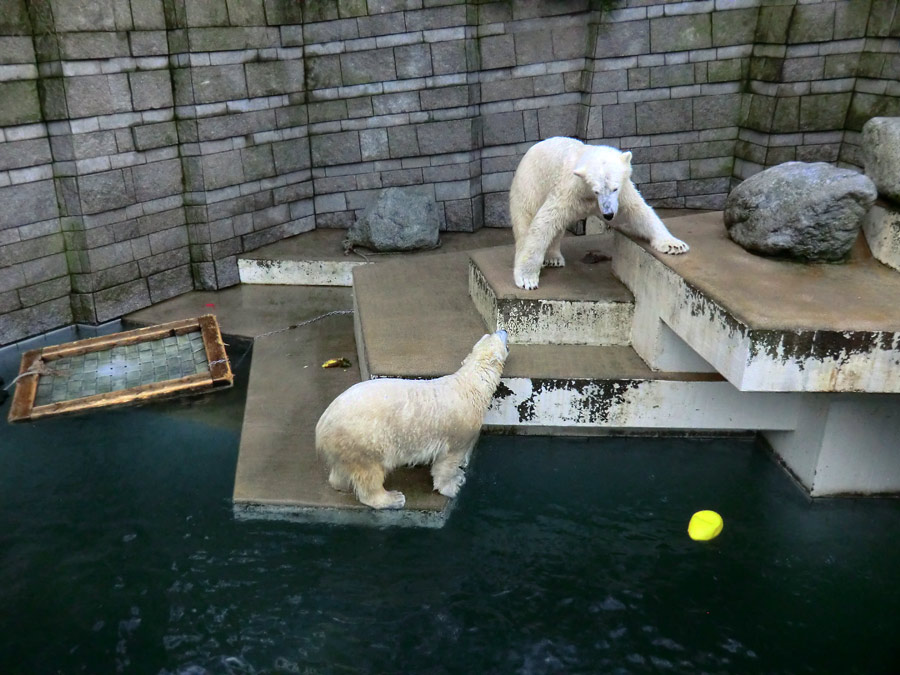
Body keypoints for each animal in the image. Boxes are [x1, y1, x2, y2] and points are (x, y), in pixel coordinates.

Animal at [314, 330, 506, 510]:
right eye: (497, 336)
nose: (503, 330)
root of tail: (322, 425)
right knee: (369, 473)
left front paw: (459, 476)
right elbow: (447, 462)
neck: (471, 385)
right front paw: (453, 486)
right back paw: (393, 498)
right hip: (364, 439)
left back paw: (342, 484)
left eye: (489, 335)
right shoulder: (458, 430)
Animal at [506, 137, 688, 290]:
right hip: (530, 184)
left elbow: (637, 211)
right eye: (596, 191)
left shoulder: (622, 193)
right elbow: (544, 222)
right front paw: (527, 279)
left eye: (614, 188)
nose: (608, 214)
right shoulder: (569, 191)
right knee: (525, 220)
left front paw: (674, 245)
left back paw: (553, 257)